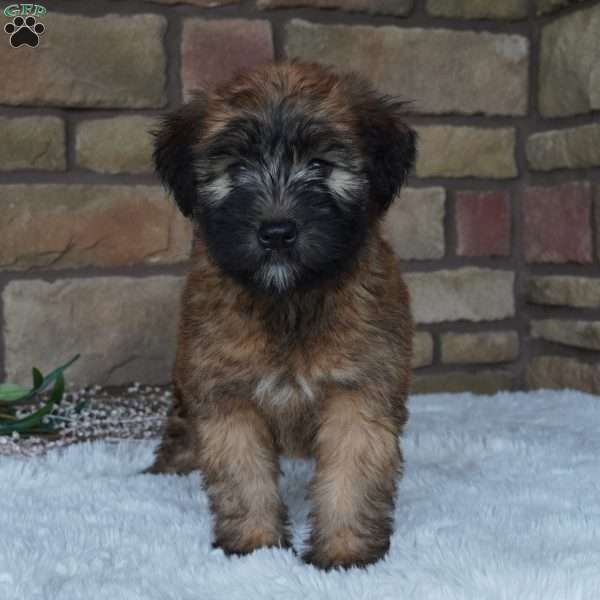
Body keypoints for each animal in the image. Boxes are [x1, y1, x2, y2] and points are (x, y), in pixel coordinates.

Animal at [148, 62, 414, 572]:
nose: (276, 232)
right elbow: (243, 475)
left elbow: (351, 476)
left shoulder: (359, 391)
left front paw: (344, 552)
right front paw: (256, 546)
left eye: (321, 165)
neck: (289, 301)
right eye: (236, 169)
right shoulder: (227, 395)